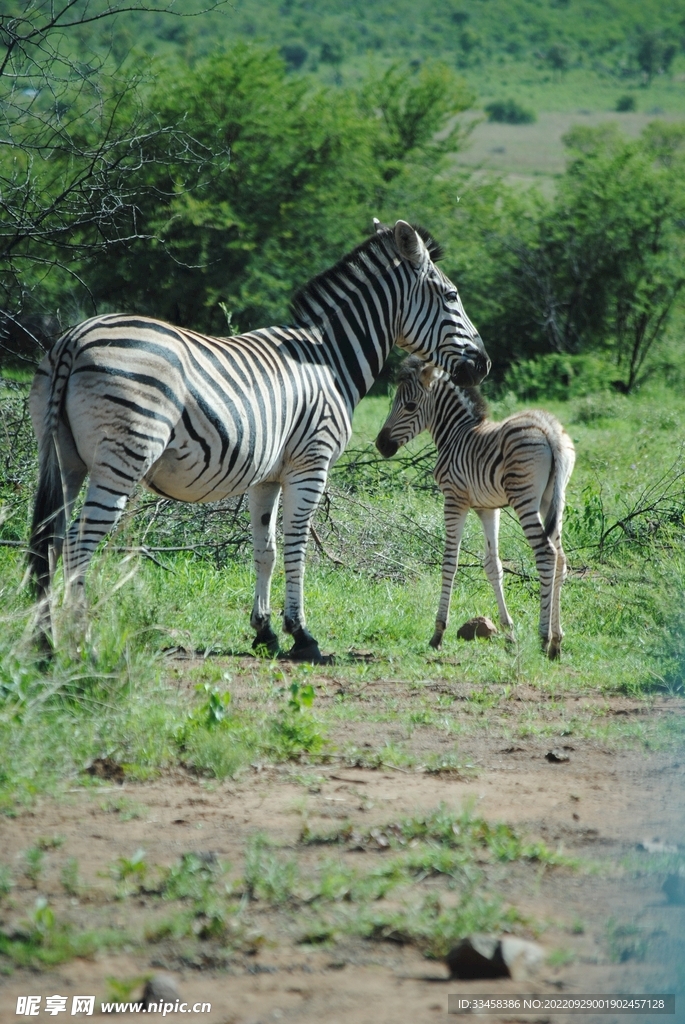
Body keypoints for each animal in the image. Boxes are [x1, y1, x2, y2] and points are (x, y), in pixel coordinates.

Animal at [29, 220, 489, 659]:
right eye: (452, 296)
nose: (483, 365)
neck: (330, 359)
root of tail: (73, 339)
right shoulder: (311, 464)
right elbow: (296, 547)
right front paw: (301, 634)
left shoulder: (266, 476)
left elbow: (264, 549)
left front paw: (264, 632)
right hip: (122, 458)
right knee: (77, 544)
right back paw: (82, 643)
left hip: (64, 460)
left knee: (50, 541)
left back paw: (44, 644)